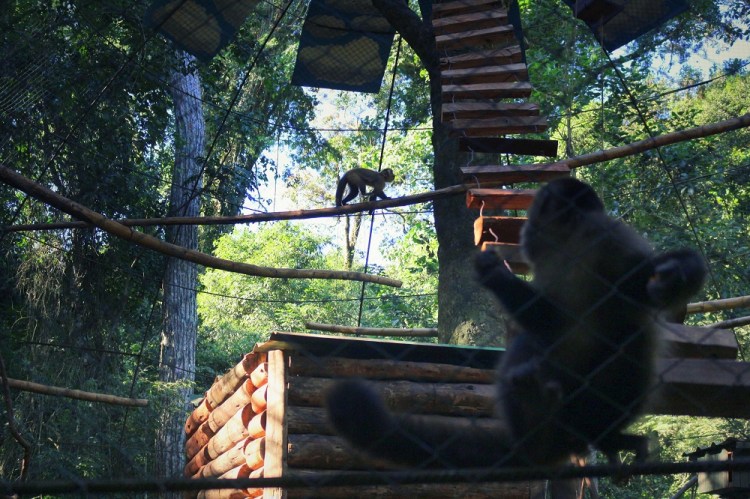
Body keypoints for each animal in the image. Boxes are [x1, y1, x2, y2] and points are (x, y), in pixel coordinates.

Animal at [325, 177, 706, 469]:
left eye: (535, 212)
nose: (525, 231)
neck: (573, 245)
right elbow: (547, 321)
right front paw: (494, 274)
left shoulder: (610, 236)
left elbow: (642, 288)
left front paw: (680, 273)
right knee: (532, 347)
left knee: (628, 340)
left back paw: (603, 434)